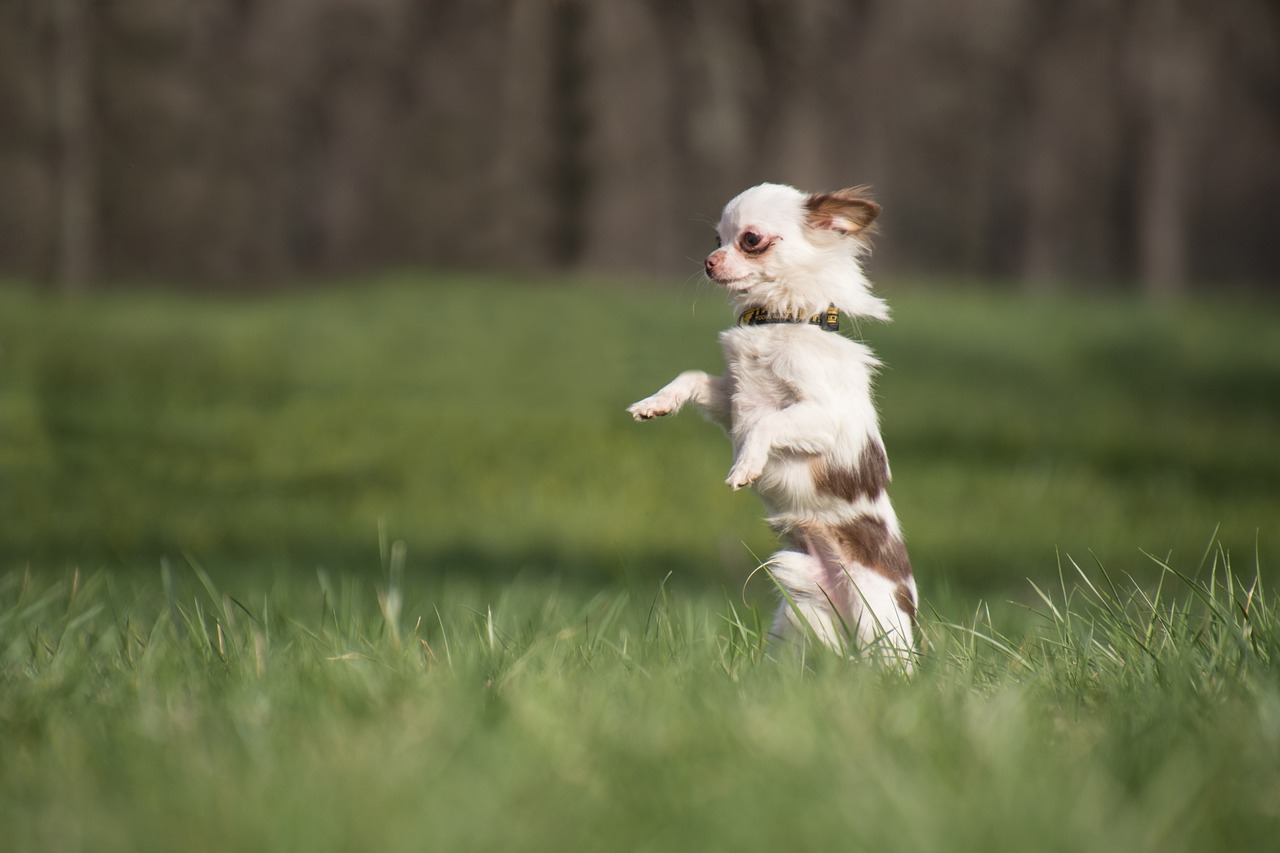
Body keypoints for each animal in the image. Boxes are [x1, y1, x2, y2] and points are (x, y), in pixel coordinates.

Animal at [624, 183, 916, 660]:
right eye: (716, 239)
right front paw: (656, 403)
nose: (708, 261)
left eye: (750, 240)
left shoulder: (823, 419)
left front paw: (745, 466)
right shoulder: (734, 401)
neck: (778, 320)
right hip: (799, 612)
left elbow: (768, 425)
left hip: (877, 617)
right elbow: (693, 377)